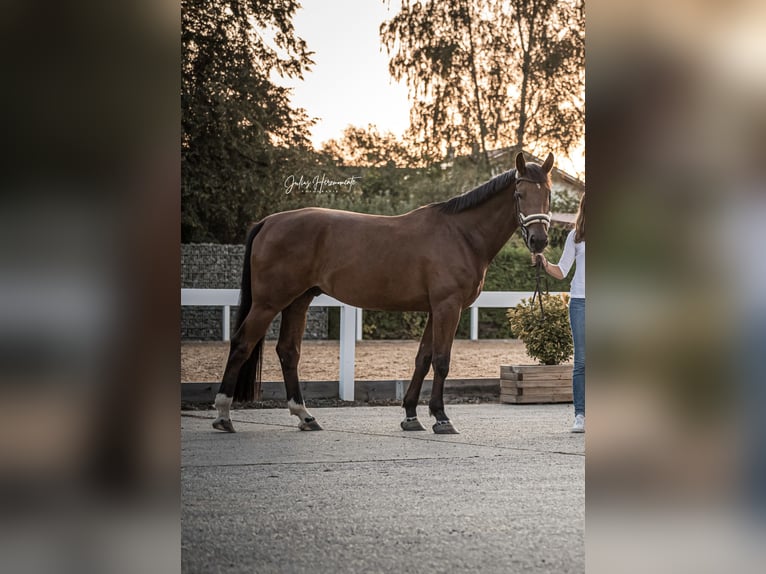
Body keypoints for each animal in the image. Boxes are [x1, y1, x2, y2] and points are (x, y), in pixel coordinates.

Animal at [213, 153, 556, 436]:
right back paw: (223, 414)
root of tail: (268, 221)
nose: (539, 241)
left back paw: (305, 416)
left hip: (299, 301)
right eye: (519, 194)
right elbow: (441, 360)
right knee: (242, 344)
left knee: (288, 351)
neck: (461, 234)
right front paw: (441, 418)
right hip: (269, 303)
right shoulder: (448, 306)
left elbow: (423, 358)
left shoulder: (435, 309)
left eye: (549, 194)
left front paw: (411, 415)